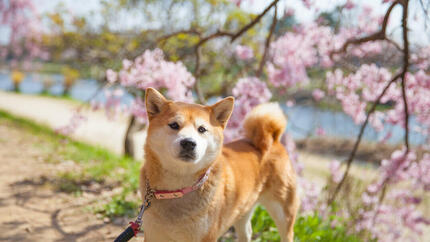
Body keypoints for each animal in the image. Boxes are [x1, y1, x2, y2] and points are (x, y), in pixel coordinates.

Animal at [139, 88, 298, 241]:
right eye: (174, 125)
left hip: (283, 212)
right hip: (243, 209)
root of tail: (274, 141)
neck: (177, 190)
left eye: (201, 129)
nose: (188, 143)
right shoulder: (153, 234)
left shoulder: (207, 236)